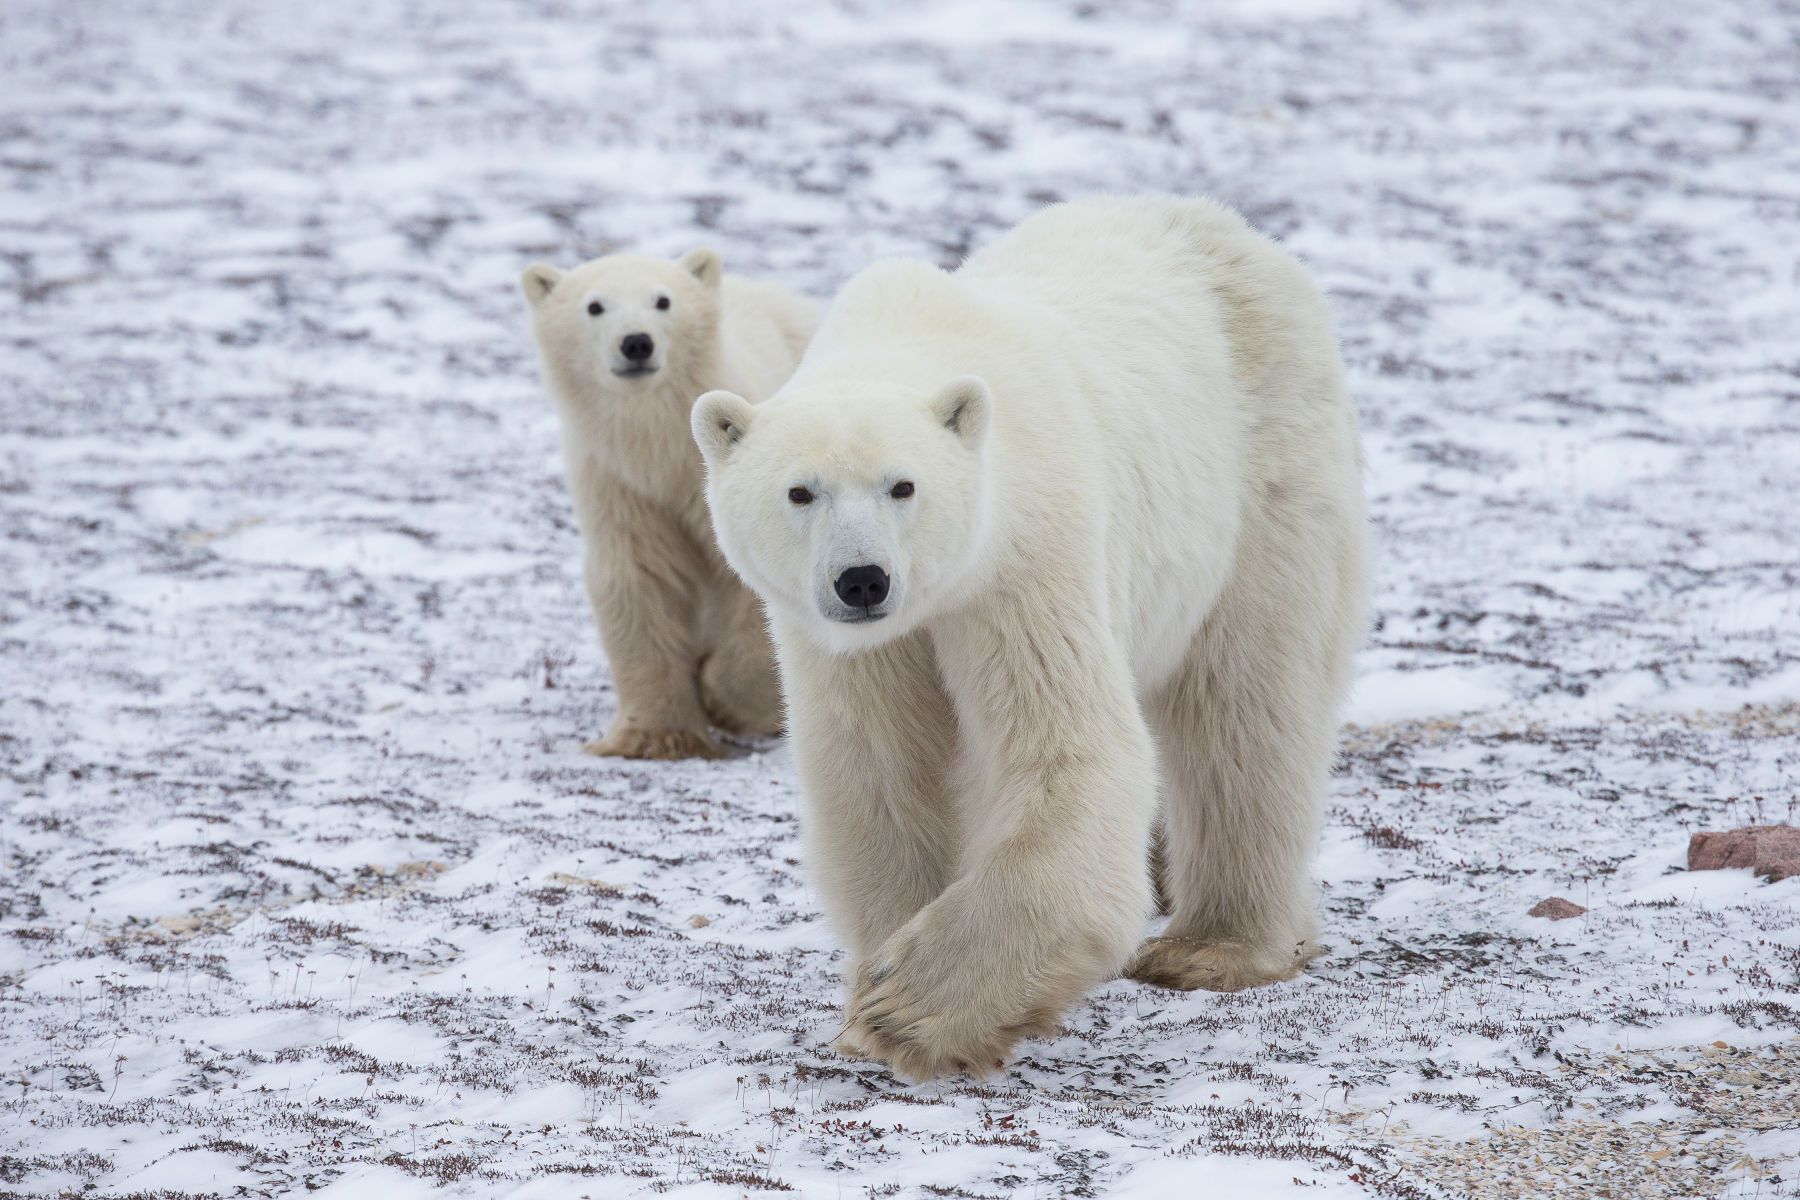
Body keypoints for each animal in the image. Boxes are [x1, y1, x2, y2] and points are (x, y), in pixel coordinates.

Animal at [687, 195, 1360, 1079]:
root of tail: (1228, 226)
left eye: (903, 485)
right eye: (801, 491)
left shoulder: (1026, 556)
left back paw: (1213, 947)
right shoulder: (847, 644)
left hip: (1263, 473)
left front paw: (909, 1009)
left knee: (1245, 704)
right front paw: (877, 983)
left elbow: (1068, 754)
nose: (863, 580)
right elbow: (879, 774)